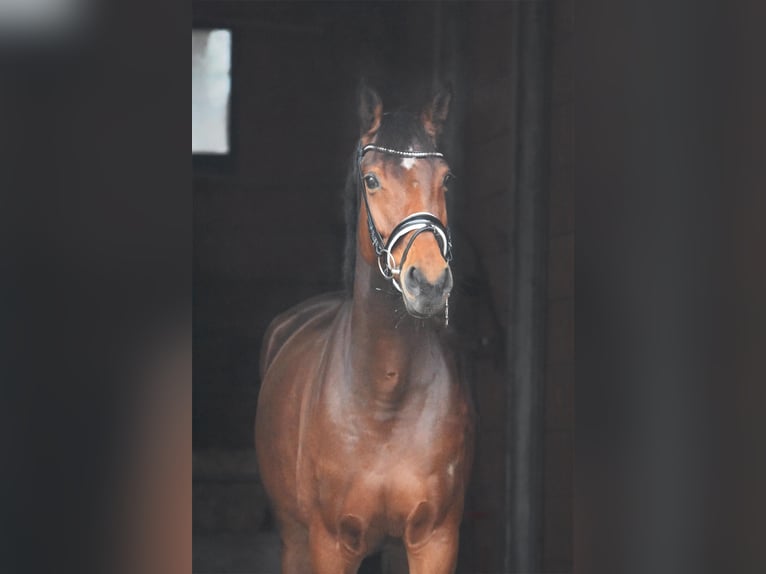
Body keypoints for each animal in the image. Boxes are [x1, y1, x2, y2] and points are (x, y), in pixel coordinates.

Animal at [258, 85, 474, 574]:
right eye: (371, 181)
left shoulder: (435, 539)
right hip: (294, 538)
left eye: (446, 180)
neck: (384, 395)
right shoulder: (330, 544)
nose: (428, 282)